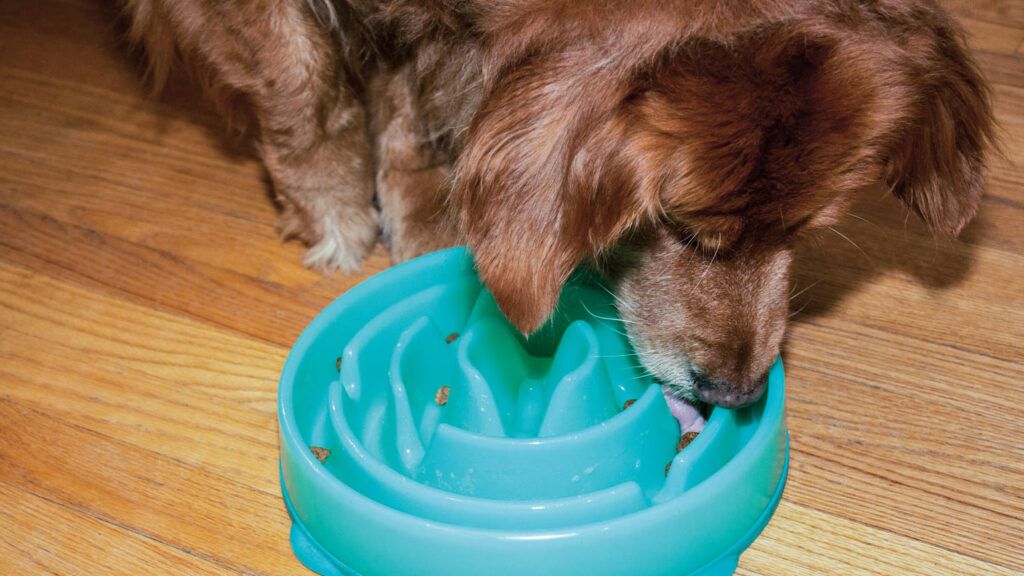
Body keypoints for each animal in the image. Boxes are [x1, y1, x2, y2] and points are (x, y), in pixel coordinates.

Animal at [119, 0, 991, 405]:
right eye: (680, 228)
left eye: (805, 232)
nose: (738, 395)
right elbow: (305, 87)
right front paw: (334, 213)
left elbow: (408, 106)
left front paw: (423, 216)